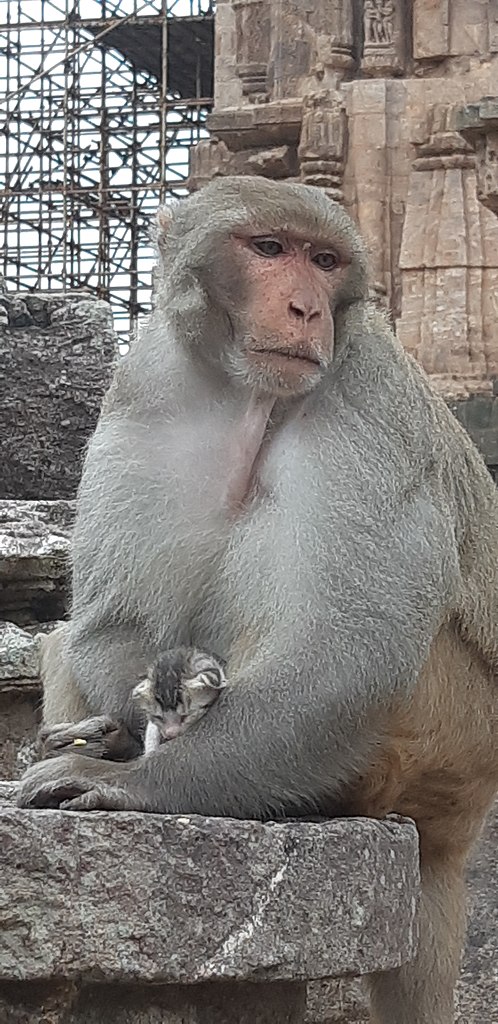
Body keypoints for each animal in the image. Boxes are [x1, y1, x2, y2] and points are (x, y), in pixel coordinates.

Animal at [17, 176, 498, 1024]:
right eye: (269, 249)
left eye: (325, 260)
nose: (306, 309)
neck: (245, 392)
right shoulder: (151, 383)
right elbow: (112, 623)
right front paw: (120, 734)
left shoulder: (365, 400)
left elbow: (348, 655)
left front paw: (133, 783)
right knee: (68, 635)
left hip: (444, 735)